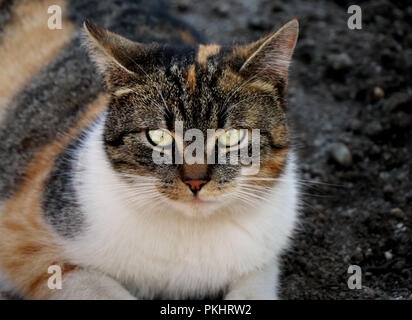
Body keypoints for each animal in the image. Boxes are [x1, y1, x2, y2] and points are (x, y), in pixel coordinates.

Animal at [0, 0, 298, 300]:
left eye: (232, 136)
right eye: (159, 136)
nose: (195, 182)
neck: (189, 232)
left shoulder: (263, 253)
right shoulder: (23, 236)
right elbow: (99, 286)